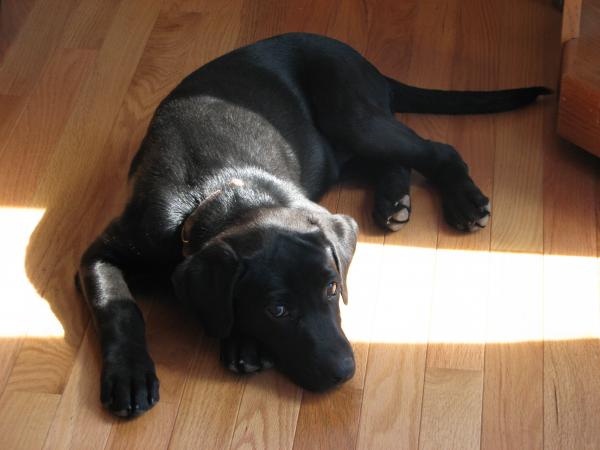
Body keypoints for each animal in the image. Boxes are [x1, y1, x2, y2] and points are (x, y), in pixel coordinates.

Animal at [77, 32, 552, 418]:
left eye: (331, 288)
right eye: (277, 310)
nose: (346, 371)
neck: (218, 189)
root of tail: (359, 58)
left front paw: (241, 343)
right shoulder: (101, 253)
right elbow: (119, 307)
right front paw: (130, 375)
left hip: (353, 118)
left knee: (436, 150)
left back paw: (463, 202)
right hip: (336, 148)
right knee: (394, 160)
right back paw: (393, 200)